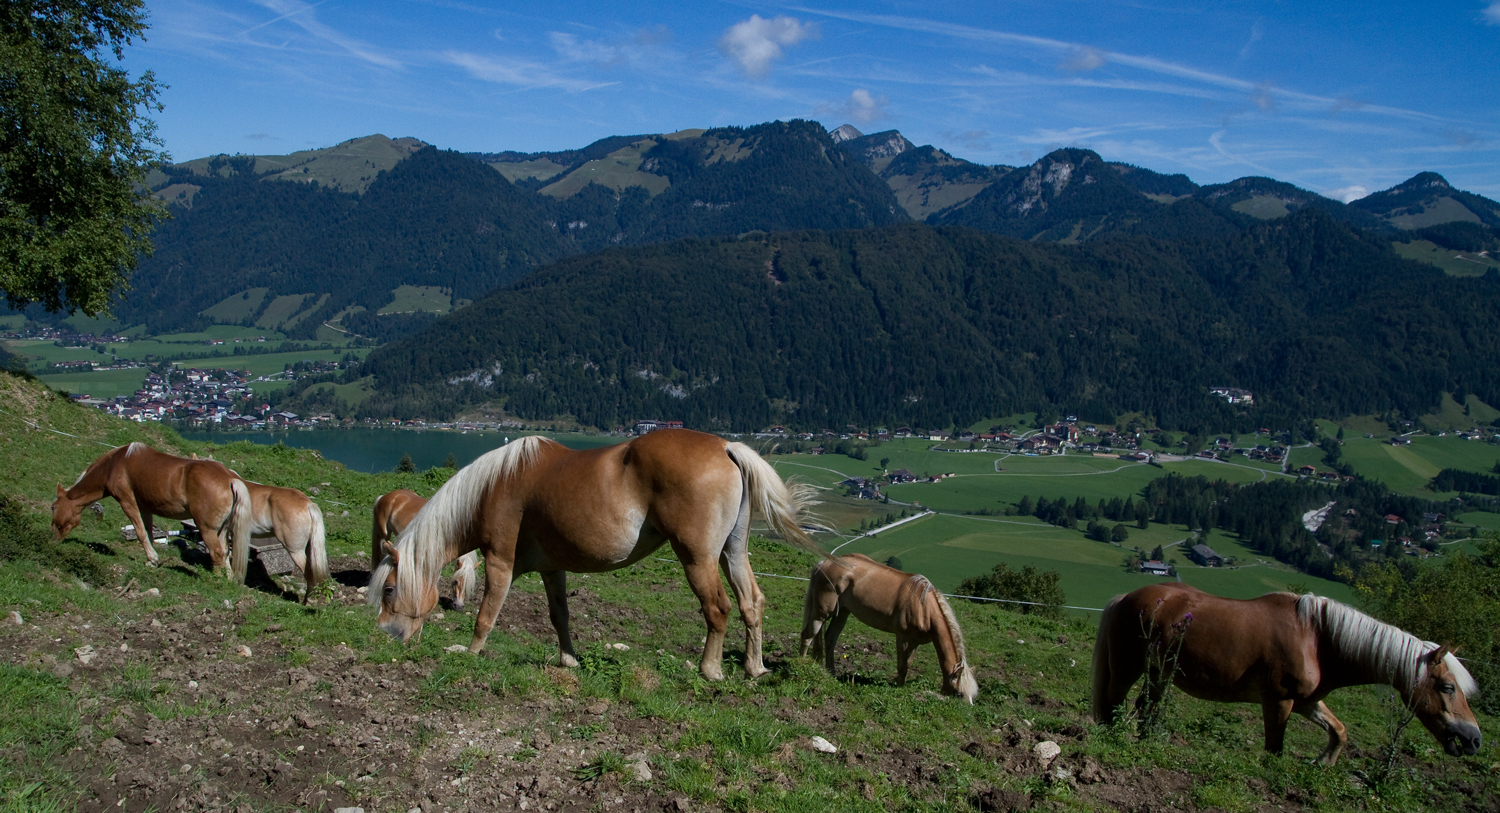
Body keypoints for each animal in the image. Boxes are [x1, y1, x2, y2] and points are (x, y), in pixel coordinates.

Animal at [53, 444, 255, 582]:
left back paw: (215, 580)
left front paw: (152, 559)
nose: (53, 537)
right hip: (221, 529)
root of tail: (230, 479)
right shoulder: (145, 508)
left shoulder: (127, 501)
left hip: (206, 529)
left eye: (53, 507)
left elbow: (140, 532)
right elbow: (149, 532)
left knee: (217, 553)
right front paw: (152, 559)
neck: (115, 464)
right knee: (225, 553)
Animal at [373, 432, 822, 681]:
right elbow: (560, 616)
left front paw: (470, 655)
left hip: (698, 559)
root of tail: (726, 447)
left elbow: (487, 614)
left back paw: (710, 670)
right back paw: (754, 667)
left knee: (718, 609)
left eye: (390, 589)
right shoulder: (552, 569)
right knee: (751, 604)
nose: (388, 635)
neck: (495, 485)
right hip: (733, 553)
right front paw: (568, 660)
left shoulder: (500, 561)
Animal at [804, 558, 978, 705]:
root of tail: (823, 563)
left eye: (972, 695)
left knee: (830, 638)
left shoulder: (915, 642)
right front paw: (899, 688)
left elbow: (908, 664)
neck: (923, 606)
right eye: (959, 693)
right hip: (822, 612)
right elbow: (902, 666)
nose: (967, 712)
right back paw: (801, 661)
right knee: (808, 635)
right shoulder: (903, 637)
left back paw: (831, 672)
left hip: (842, 613)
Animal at [1092, 582, 1476, 768]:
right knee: (1112, 706)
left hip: (1158, 673)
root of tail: (1126, 597)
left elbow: (1339, 732)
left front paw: (1322, 763)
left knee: (1143, 708)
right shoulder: (1278, 701)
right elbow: (1274, 750)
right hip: (1128, 669)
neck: (1317, 639)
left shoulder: (1307, 702)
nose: (1474, 739)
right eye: (1447, 687)